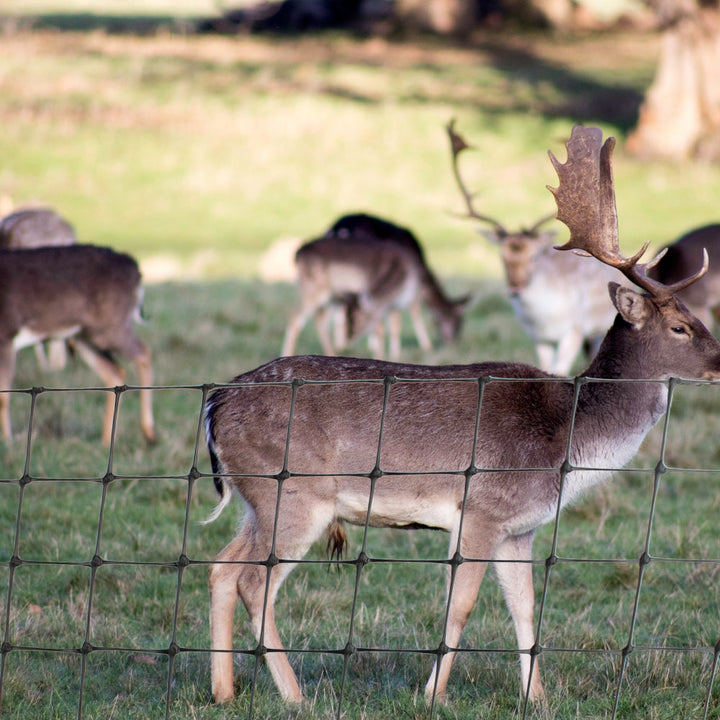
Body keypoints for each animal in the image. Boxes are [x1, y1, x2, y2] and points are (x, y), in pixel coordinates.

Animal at [0, 244, 155, 447]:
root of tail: (135, 268)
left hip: (110, 327)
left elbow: (3, 397)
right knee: (114, 371)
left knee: (144, 352)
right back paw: (106, 441)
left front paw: (7, 441)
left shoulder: (6, 335)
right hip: (84, 336)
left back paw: (149, 433)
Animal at [281, 214, 470, 360]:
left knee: (322, 319)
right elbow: (407, 315)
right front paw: (422, 348)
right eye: (457, 321)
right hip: (316, 291)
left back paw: (335, 351)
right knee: (296, 316)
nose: (453, 343)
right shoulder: (404, 295)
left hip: (333, 294)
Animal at [447, 119, 624, 375]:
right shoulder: (538, 339)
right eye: (501, 257)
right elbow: (546, 367)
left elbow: (560, 370)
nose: (515, 287)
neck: (543, 319)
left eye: (534, 257)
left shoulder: (574, 329)